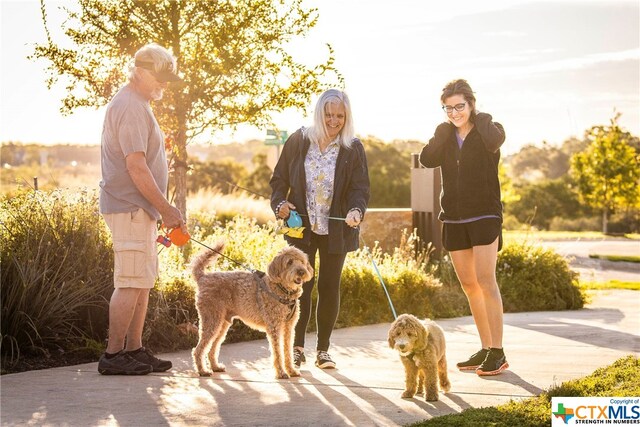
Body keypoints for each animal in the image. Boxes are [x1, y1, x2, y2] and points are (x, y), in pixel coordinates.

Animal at [190, 242, 312, 380]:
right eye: (290, 262)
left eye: (302, 261)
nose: (301, 271)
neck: (282, 290)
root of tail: (203, 277)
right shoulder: (274, 327)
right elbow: (277, 352)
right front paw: (281, 373)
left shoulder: (289, 328)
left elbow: (287, 351)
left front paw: (291, 370)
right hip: (211, 320)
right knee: (198, 349)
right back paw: (202, 371)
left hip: (222, 324)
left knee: (212, 348)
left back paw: (215, 367)